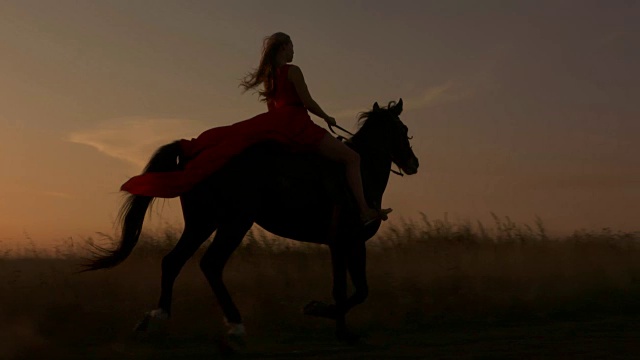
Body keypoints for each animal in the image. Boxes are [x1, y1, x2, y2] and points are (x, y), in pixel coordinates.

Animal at [85, 98, 420, 344]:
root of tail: (192, 150)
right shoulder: (343, 241)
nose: (413, 163)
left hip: (203, 223)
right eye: (402, 129)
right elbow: (349, 290)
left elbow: (354, 289)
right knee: (209, 263)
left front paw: (335, 325)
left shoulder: (348, 243)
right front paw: (323, 315)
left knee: (174, 261)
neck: (359, 174)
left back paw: (156, 318)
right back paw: (234, 325)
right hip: (233, 222)